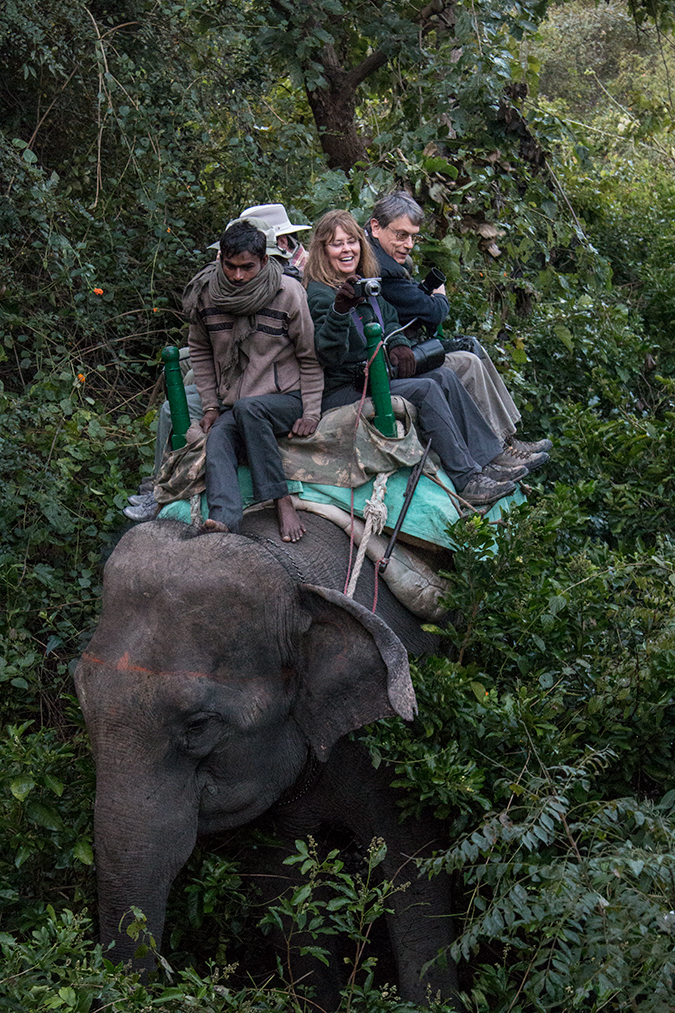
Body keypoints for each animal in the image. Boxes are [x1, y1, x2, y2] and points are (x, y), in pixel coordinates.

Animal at [76, 518, 460, 1008]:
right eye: (81, 697)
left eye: (198, 725)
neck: (296, 583)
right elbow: (286, 892)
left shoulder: (395, 746)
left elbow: (416, 866)